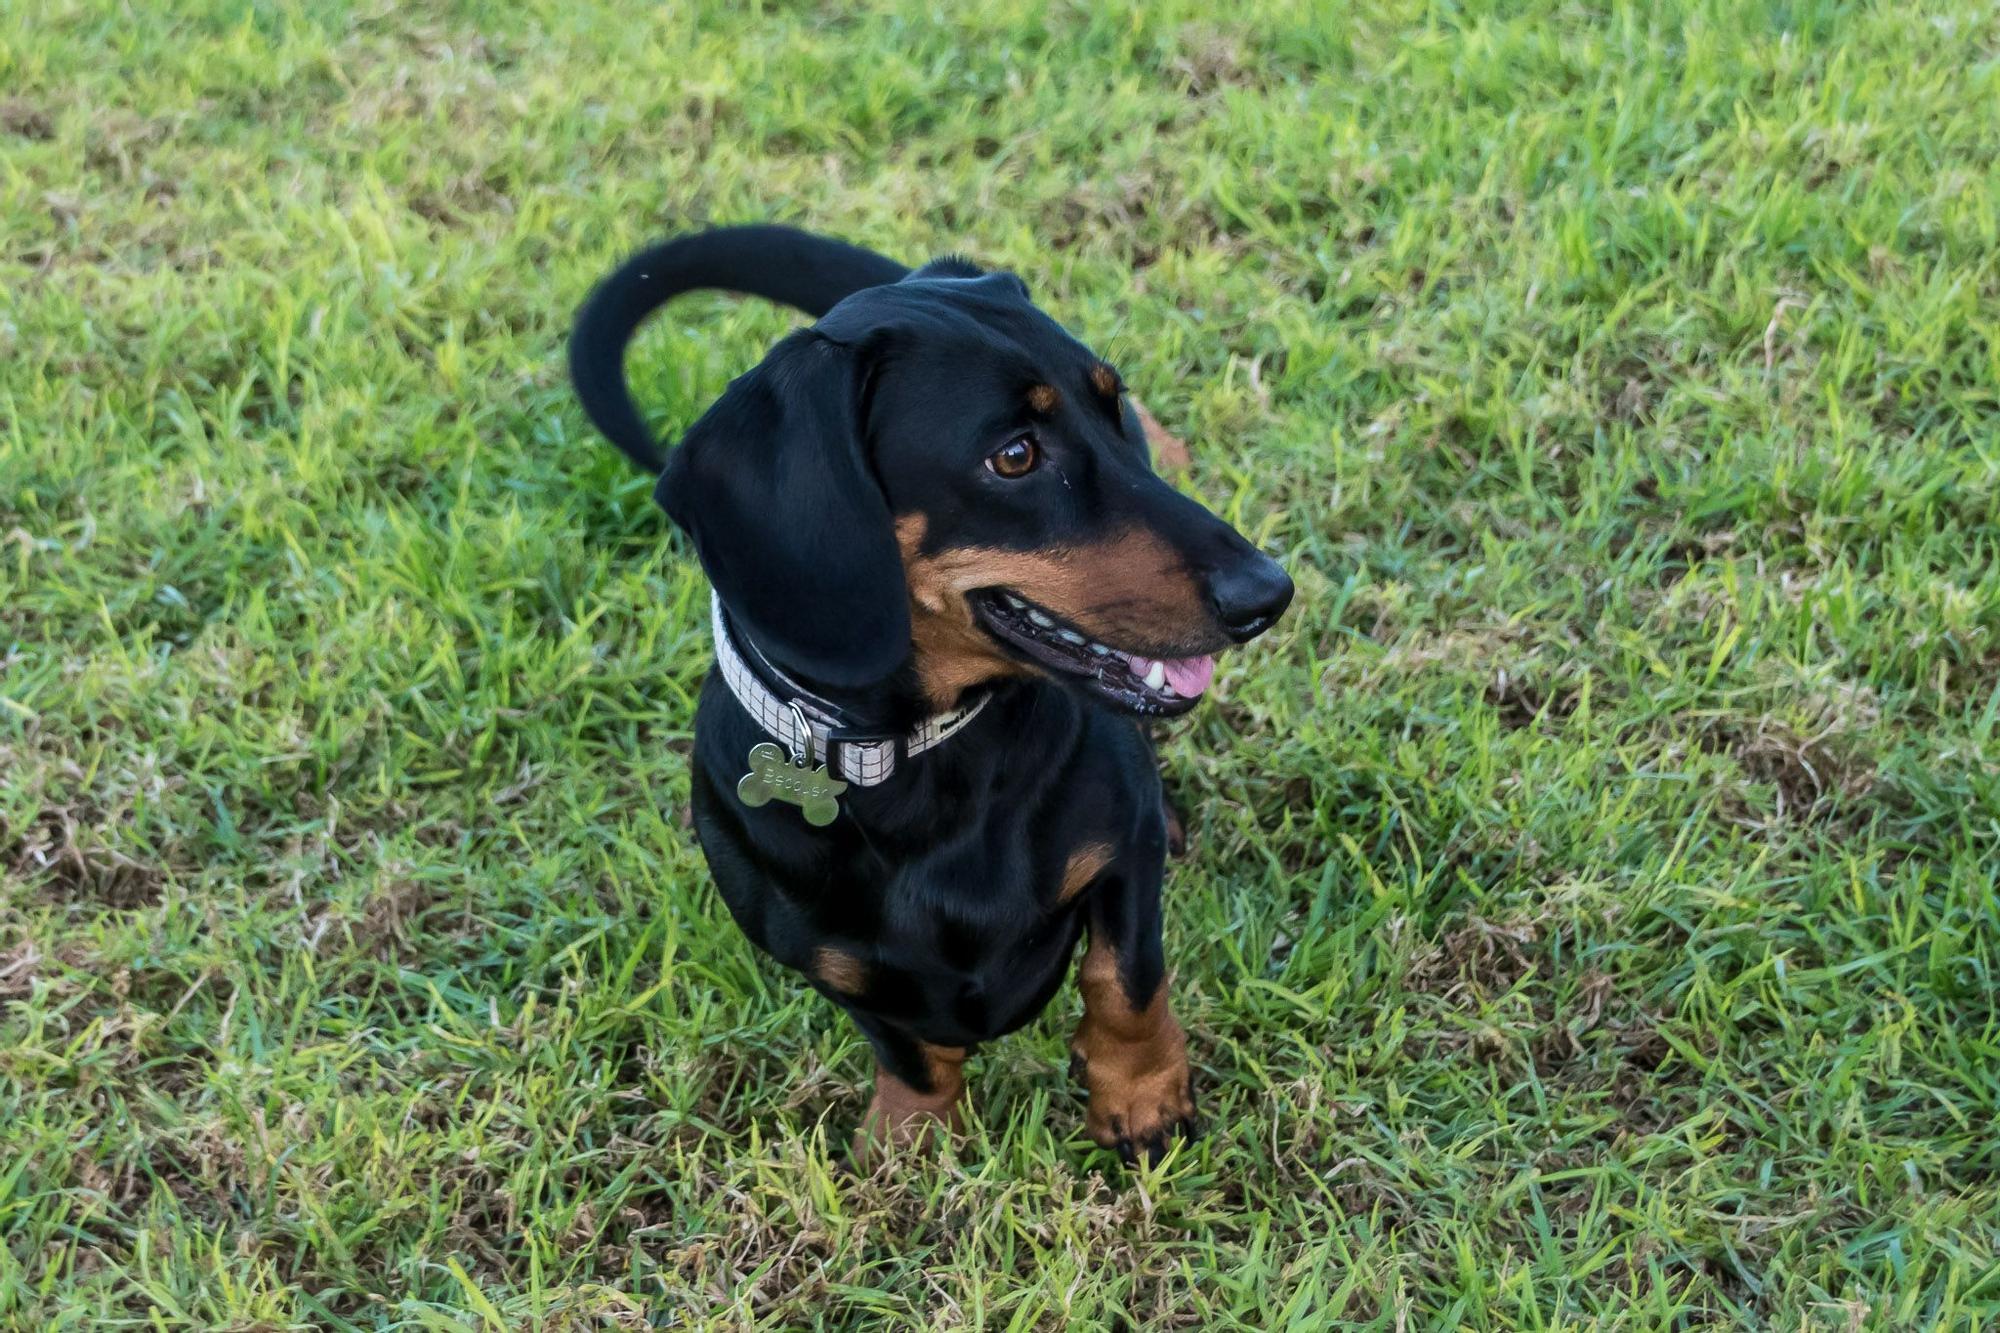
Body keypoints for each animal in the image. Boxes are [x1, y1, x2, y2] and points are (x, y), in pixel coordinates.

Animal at [572, 223, 1288, 1160]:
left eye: (1112, 407)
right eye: (1014, 455)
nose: (1268, 592)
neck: (923, 756)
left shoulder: (1121, 855)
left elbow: (1123, 979)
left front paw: (1141, 1097)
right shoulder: (830, 960)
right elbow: (909, 1047)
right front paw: (911, 1136)